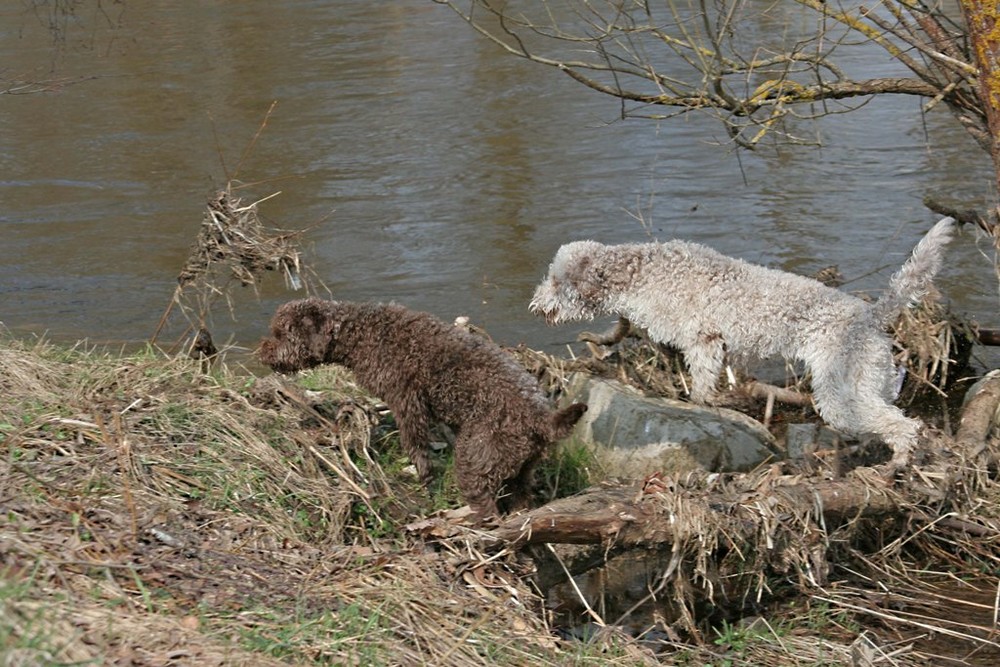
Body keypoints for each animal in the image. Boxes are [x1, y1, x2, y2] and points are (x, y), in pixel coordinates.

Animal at [536, 219, 956, 470]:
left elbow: (702, 383)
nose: (536, 305)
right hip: (871, 383)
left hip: (841, 393)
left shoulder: (703, 339)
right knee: (893, 418)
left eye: (556, 280)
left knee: (903, 426)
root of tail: (871, 315)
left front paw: (702, 401)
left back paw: (897, 463)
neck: (641, 272)